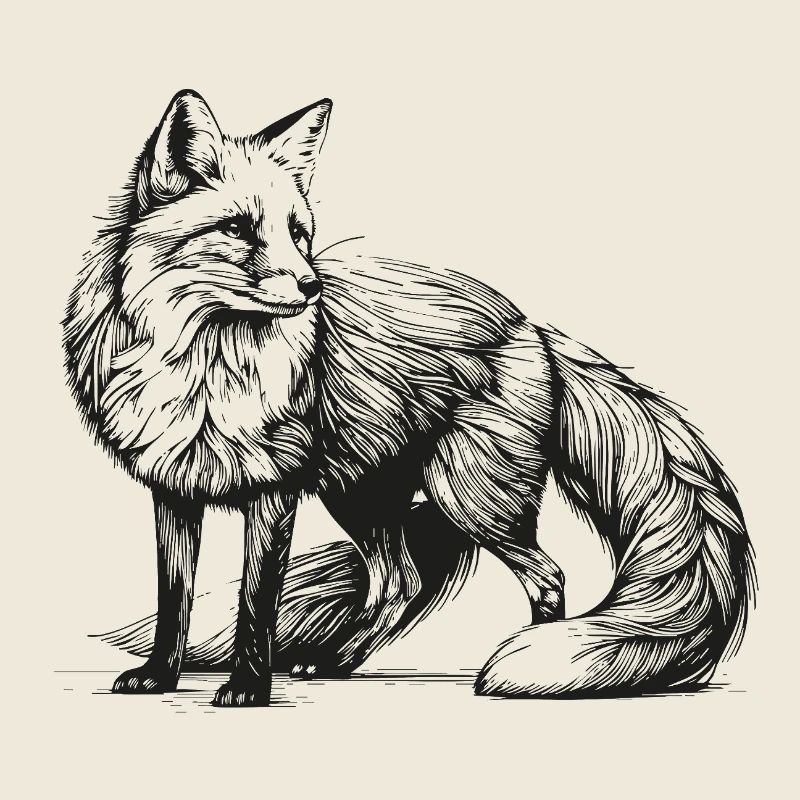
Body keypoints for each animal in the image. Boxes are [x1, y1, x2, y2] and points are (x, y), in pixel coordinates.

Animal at [63, 90, 756, 707]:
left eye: (299, 233)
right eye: (238, 228)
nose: (312, 287)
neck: (206, 368)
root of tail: (530, 322)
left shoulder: (275, 493)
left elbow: (255, 602)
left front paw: (247, 689)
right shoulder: (174, 489)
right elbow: (172, 599)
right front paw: (160, 676)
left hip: (469, 498)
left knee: (544, 575)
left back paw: (525, 652)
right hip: (360, 494)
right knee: (398, 582)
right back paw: (336, 663)